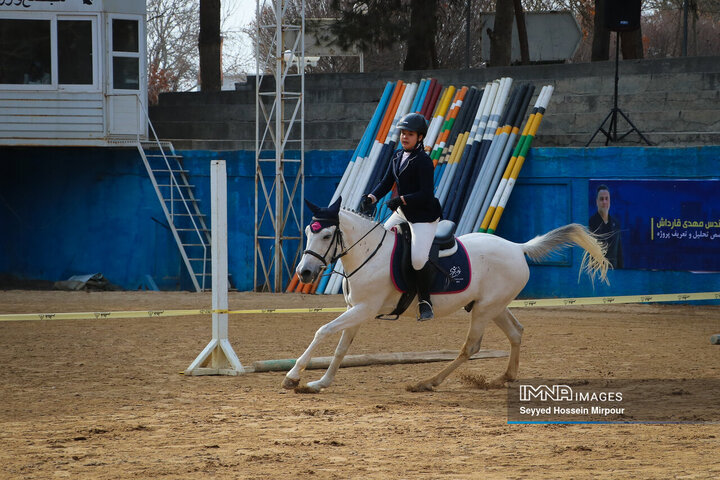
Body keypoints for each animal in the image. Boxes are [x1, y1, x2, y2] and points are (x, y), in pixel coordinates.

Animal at [284, 197, 612, 392]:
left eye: (327, 235)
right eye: (308, 232)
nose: (305, 273)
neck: (368, 253)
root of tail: (517, 247)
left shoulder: (364, 308)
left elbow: (323, 330)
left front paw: (293, 375)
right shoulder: (357, 310)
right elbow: (341, 347)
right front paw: (321, 382)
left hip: (483, 310)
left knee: (472, 347)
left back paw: (428, 382)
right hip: (492, 306)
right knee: (516, 332)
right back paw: (504, 378)